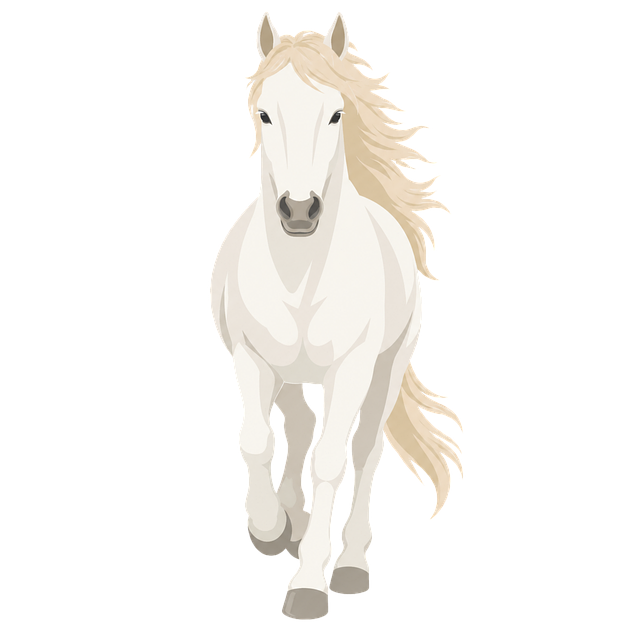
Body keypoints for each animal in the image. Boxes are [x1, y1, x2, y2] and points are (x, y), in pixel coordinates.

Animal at [210, 10, 465, 621]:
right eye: (263, 112)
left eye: (335, 113)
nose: (300, 212)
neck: (299, 276)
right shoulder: (252, 359)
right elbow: (257, 442)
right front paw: (269, 528)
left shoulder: (350, 369)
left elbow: (333, 461)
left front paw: (307, 587)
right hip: (286, 371)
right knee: (299, 422)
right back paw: (293, 523)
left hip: (383, 372)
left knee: (367, 449)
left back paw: (348, 565)